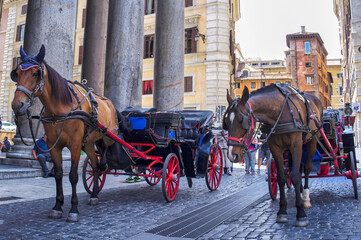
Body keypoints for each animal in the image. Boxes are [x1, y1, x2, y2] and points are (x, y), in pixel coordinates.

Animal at [11, 46, 116, 222]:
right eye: (17, 73)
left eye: (35, 73)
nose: (17, 105)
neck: (60, 108)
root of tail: (108, 102)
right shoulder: (54, 146)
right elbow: (59, 174)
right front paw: (57, 207)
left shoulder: (74, 145)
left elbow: (73, 175)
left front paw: (73, 209)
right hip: (88, 144)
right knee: (94, 165)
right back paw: (94, 194)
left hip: (108, 135)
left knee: (105, 149)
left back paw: (104, 164)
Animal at [224, 84, 322, 227]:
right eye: (226, 121)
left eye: (242, 120)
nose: (232, 155)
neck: (280, 112)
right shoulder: (275, 147)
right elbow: (281, 177)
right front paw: (282, 212)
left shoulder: (296, 144)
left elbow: (296, 176)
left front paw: (301, 214)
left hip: (312, 141)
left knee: (307, 168)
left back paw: (306, 197)